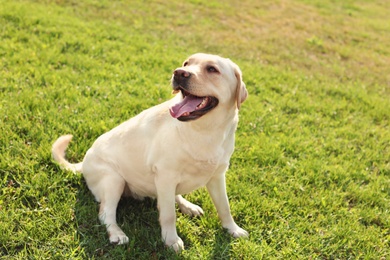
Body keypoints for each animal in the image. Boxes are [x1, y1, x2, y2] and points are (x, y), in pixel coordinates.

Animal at [51, 53, 248, 252]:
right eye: (186, 63)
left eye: (212, 69)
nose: (179, 73)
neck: (205, 132)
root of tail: (84, 161)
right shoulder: (166, 176)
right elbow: (169, 214)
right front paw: (171, 240)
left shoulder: (217, 176)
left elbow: (224, 207)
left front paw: (233, 229)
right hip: (113, 179)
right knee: (105, 213)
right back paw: (116, 233)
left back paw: (188, 206)